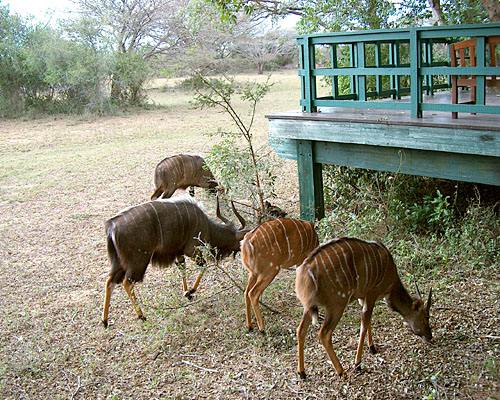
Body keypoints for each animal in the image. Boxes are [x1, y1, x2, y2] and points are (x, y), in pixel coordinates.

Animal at [101, 195, 248, 328]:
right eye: (239, 243)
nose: (240, 252)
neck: (208, 226)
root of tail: (112, 227)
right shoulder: (192, 249)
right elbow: (203, 266)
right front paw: (191, 291)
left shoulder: (179, 252)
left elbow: (182, 267)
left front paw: (186, 293)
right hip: (139, 260)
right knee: (127, 282)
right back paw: (141, 316)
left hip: (119, 263)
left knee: (110, 281)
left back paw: (105, 321)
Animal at [294, 236, 432, 380]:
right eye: (426, 317)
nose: (430, 336)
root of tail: (305, 272)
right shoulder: (372, 293)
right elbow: (364, 324)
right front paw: (358, 363)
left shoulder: (363, 296)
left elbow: (368, 320)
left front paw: (372, 347)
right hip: (337, 304)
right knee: (324, 333)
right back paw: (341, 372)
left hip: (309, 307)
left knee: (300, 330)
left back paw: (302, 372)